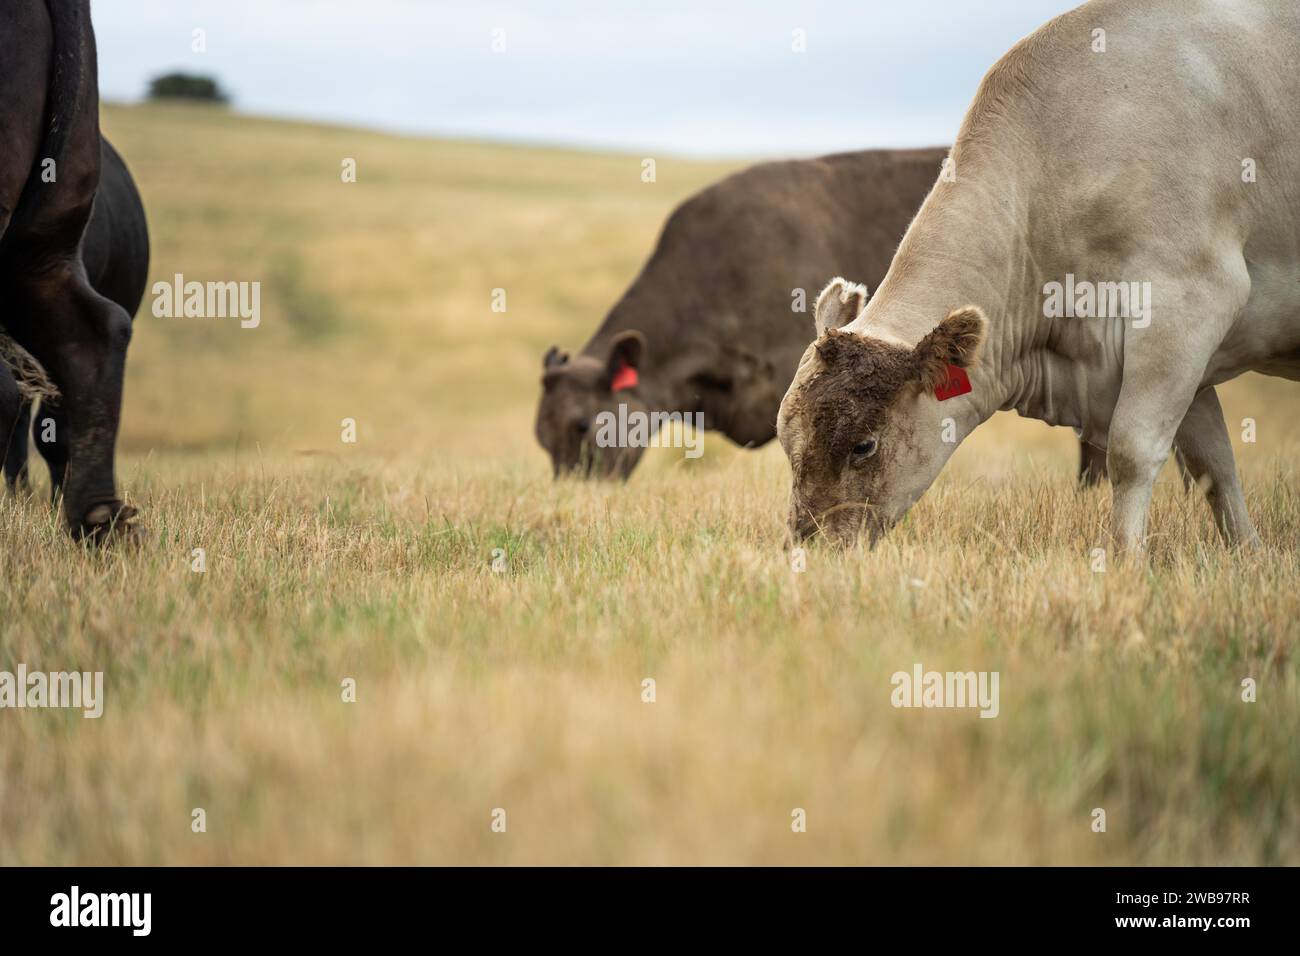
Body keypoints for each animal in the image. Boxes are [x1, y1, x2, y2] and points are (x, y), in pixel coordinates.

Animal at [778, 0, 1297, 554]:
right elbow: (1213, 465)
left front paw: (1126, 559)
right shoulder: (1183, 364)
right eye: (787, 438)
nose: (808, 549)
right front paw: (1248, 554)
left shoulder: (1188, 307)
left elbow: (1132, 452)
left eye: (864, 445)